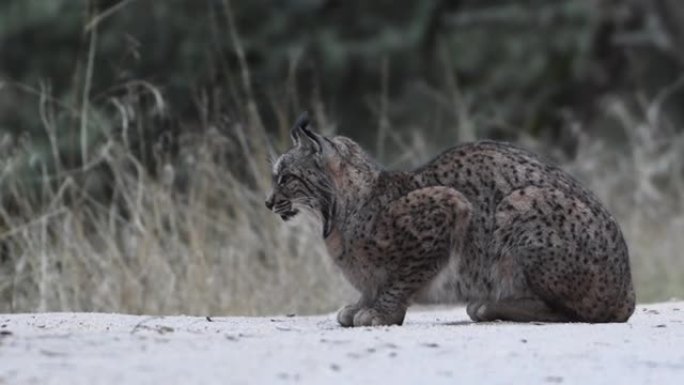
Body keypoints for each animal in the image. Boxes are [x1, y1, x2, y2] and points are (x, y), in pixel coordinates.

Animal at [266, 112, 636, 326]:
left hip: (518, 203)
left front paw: (382, 312)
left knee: (574, 313)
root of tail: (629, 290)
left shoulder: (448, 205)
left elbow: (403, 278)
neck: (340, 212)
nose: (268, 202)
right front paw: (361, 305)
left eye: (286, 178)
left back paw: (489, 306)